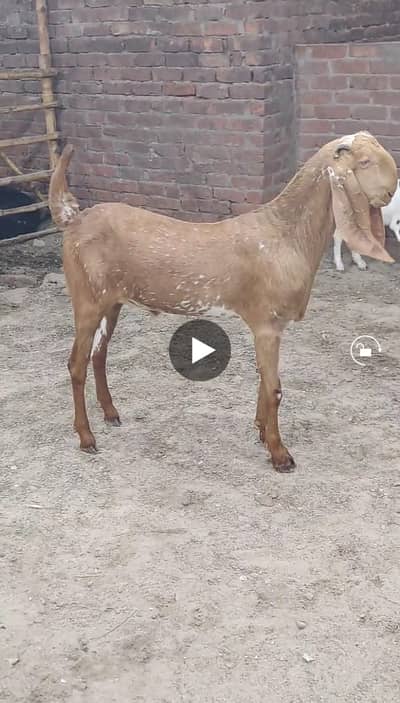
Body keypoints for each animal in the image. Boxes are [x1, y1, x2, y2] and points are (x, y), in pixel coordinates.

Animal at [49, 132, 397, 472]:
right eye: (365, 161)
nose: (392, 190)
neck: (285, 233)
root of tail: (74, 220)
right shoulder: (268, 324)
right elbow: (274, 389)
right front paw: (280, 454)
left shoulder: (267, 328)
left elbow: (265, 380)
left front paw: (261, 432)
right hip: (86, 301)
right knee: (76, 364)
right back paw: (86, 437)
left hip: (111, 303)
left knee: (99, 355)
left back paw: (110, 414)